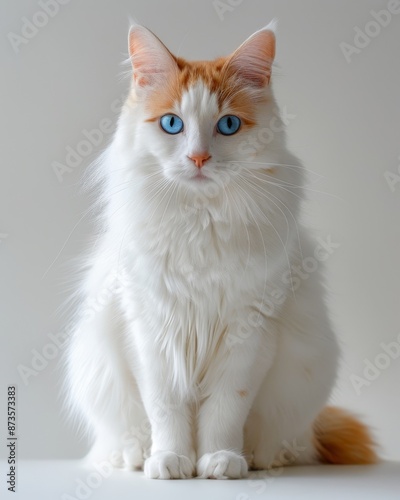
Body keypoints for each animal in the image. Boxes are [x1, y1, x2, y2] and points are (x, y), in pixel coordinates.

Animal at [64, 21, 376, 478]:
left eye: (228, 125)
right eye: (171, 124)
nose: (198, 158)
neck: (201, 221)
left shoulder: (249, 333)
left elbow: (225, 409)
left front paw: (219, 460)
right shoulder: (152, 329)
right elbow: (166, 407)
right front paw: (170, 460)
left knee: (288, 442)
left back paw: (260, 458)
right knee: (121, 437)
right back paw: (135, 456)